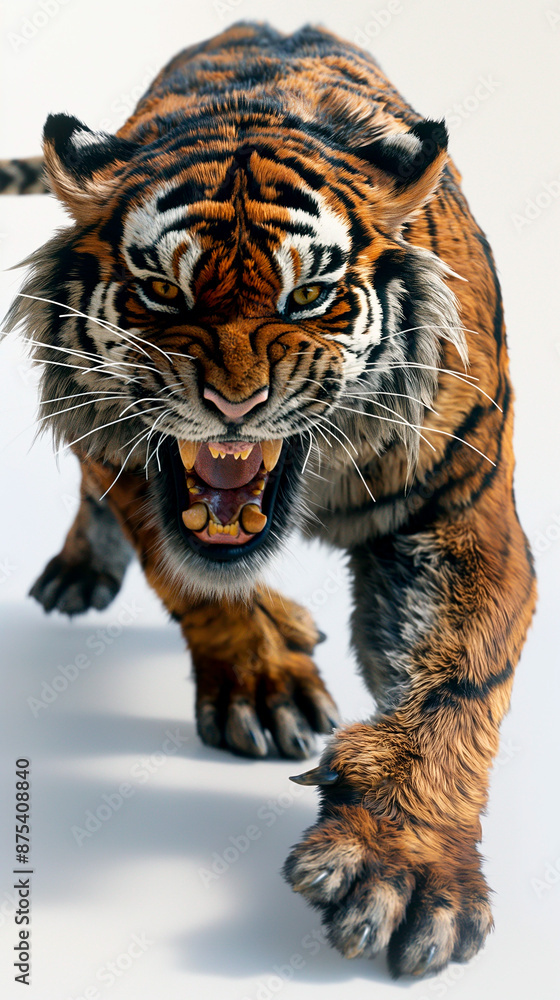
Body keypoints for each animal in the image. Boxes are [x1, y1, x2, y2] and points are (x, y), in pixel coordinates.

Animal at [3, 21, 537, 979]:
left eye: (310, 296)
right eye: (162, 291)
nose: (234, 404)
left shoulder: (462, 510)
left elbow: (460, 680)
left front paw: (405, 869)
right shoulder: (125, 461)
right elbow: (199, 587)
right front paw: (264, 689)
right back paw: (82, 574)